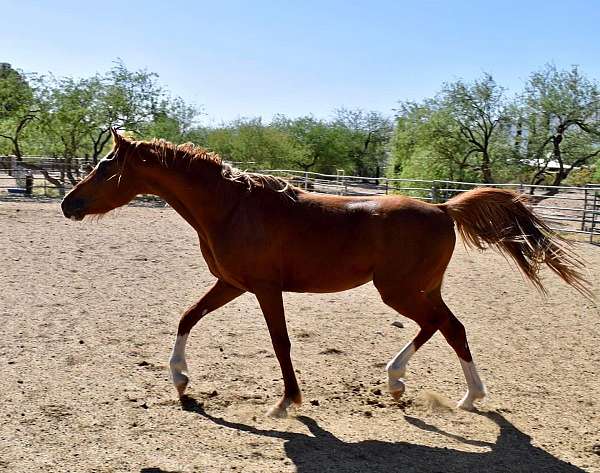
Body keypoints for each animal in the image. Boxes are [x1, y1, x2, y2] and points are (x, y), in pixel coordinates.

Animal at [62, 131, 592, 414]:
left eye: (106, 167)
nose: (69, 204)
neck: (231, 208)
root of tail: (443, 208)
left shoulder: (264, 289)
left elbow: (280, 343)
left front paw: (286, 403)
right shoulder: (231, 284)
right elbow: (187, 318)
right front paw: (179, 381)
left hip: (399, 290)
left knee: (446, 326)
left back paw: (452, 393)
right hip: (417, 289)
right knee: (442, 326)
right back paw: (415, 385)